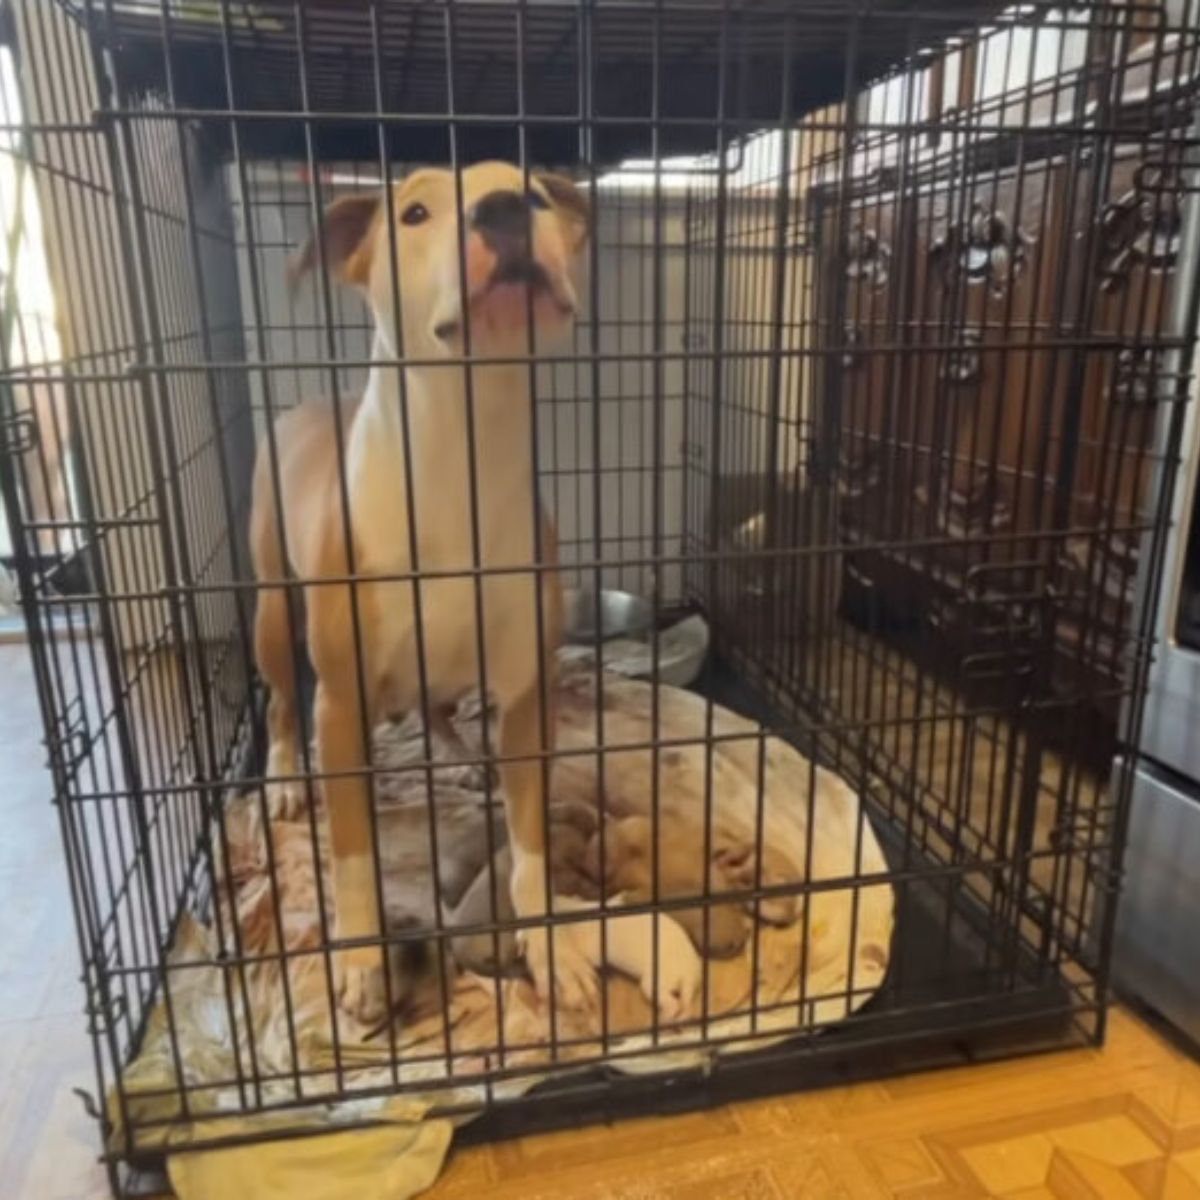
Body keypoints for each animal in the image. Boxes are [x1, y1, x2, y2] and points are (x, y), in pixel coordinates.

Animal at [249, 159, 595, 1022]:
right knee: (279, 702)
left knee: (438, 708)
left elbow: (532, 842)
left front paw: (553, 944)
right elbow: (351, 857)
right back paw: (284, 778)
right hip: (273, 608)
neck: (459, 453)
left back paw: (464, 757)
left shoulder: (527, 688)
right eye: (412, 213)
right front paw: (363, 960)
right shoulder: (339, 703)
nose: (503, 209)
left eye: (535, 192)